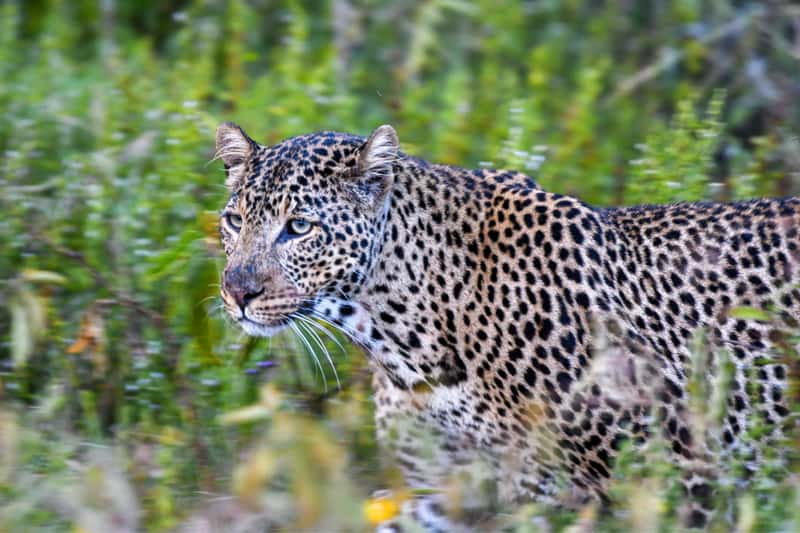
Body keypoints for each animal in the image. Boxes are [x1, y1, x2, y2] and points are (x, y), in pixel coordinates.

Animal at [214, 122, 800, 528]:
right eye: (235, 221)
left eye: (299, 227)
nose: (237, 292)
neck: (403, 339)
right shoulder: (449, 488)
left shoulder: (668, 479)